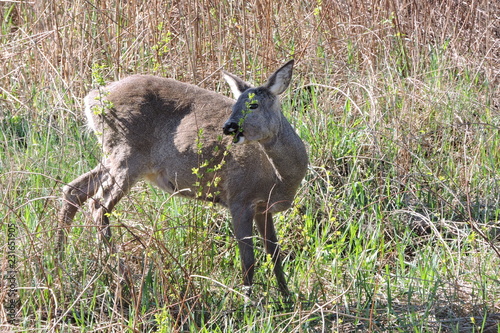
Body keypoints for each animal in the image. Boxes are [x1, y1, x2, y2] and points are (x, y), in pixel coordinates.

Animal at [58, 59, 308, 296]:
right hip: (126, 154)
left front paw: (287, 297)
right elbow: (248, 260)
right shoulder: (239, 198)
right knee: (99, 204)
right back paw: (122, 276)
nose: (228, 127)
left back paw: (60, 259)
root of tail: (92, 98)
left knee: (74, 189)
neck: (279, 177)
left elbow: (275, 255)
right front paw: (248, 301)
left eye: (253, 105)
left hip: (114, 157)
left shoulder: (263, 208)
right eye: (235, 105)